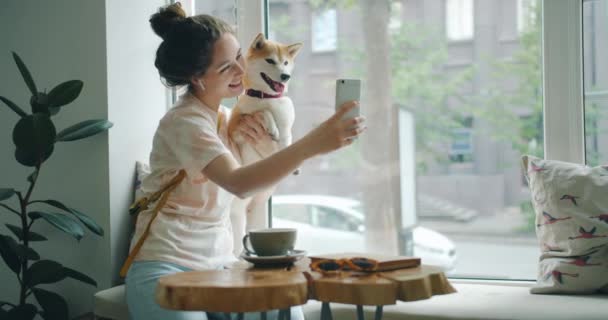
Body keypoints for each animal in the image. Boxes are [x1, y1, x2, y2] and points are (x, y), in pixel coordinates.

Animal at [227, 33, 302, 256]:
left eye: (285, 62)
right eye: (270, 61)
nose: (285, 76)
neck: (268, 98)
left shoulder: (287, 124)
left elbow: (287, 140)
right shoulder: (236, 127)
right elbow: (262, 112)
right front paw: (270, 125)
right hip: (237, 215)